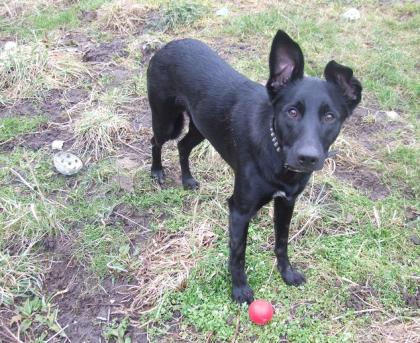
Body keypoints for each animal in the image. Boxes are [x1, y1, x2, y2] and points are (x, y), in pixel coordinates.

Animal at [148, 29, 360, 304]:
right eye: (292, 112)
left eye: (329, 116)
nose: (307, 158)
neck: (277, 154)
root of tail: (167, 46)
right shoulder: (239, 210)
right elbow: (238, 253)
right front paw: (239, 289)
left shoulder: (287, 202)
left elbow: (282, 241)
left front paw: (286, 273)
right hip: (166, 120)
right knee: (156, 141)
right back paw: (156, 171)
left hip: (201, 126)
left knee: (183, 146)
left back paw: (187, 179)